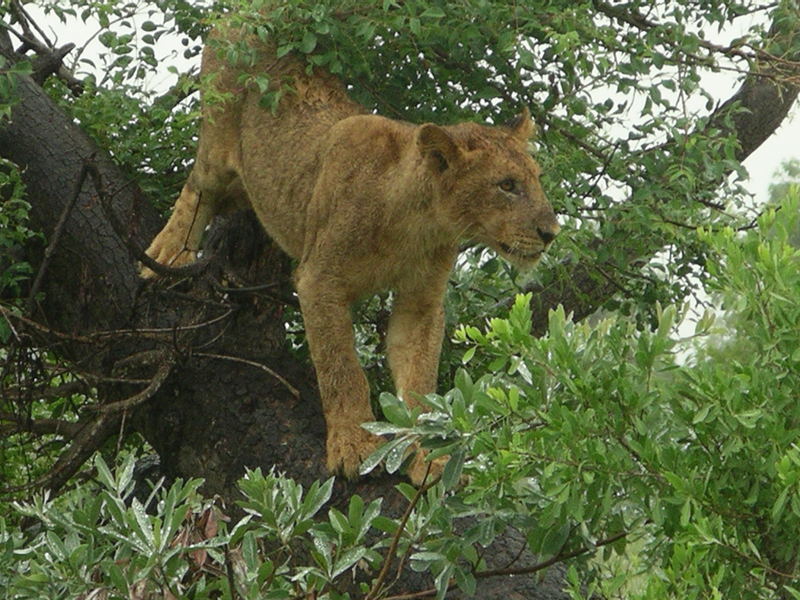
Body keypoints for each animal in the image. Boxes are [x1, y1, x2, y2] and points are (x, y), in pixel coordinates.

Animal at [142, 21, 556, 486]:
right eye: (507, 185)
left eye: (536, 179)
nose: (551, 232)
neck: (417, 224)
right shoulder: (319, 280)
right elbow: (340, 367)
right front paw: (353, 445)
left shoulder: (421, 301)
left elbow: (420, 379)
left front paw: (431, 456)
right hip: (217, 139)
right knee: (197, 188)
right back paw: (167, 253)